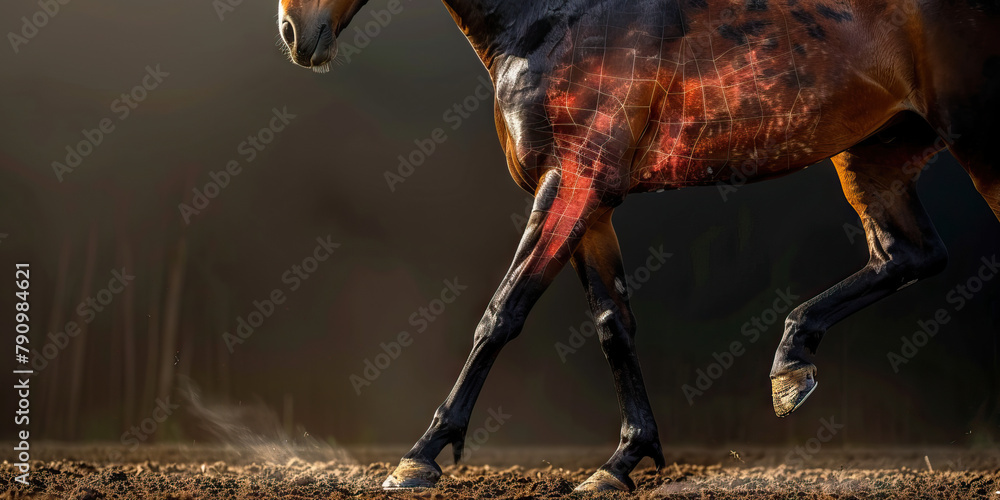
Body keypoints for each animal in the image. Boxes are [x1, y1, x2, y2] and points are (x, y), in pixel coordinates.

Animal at [276, 0, 1000, 491]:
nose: (293, 32)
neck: (554, 15)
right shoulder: (588, 200)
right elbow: (612, 323)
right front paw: (624, 460)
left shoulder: (572, 180)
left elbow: (503, 312)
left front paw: (421, 455)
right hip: (874, 153)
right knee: (909, 255)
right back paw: (791, 363)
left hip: (977, 143)